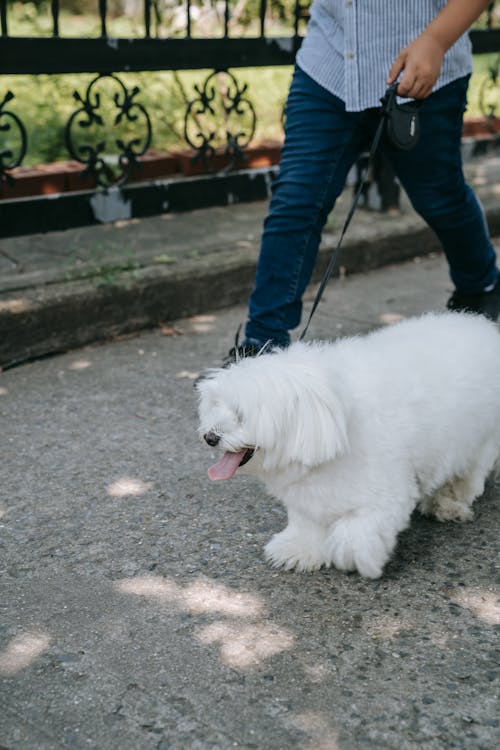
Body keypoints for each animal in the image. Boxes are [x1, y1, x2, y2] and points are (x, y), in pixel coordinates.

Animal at [196, 314, 500, 580]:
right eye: (216, 405)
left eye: (241, 414)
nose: (210, 437)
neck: (333, 416)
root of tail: (484, 327)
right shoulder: (311, 492)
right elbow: (308, 522)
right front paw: (299, 549)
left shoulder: (384, 492)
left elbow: (357, 530)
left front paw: (353, 555)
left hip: (479, 441)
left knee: (468, 477)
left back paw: (448, 503)